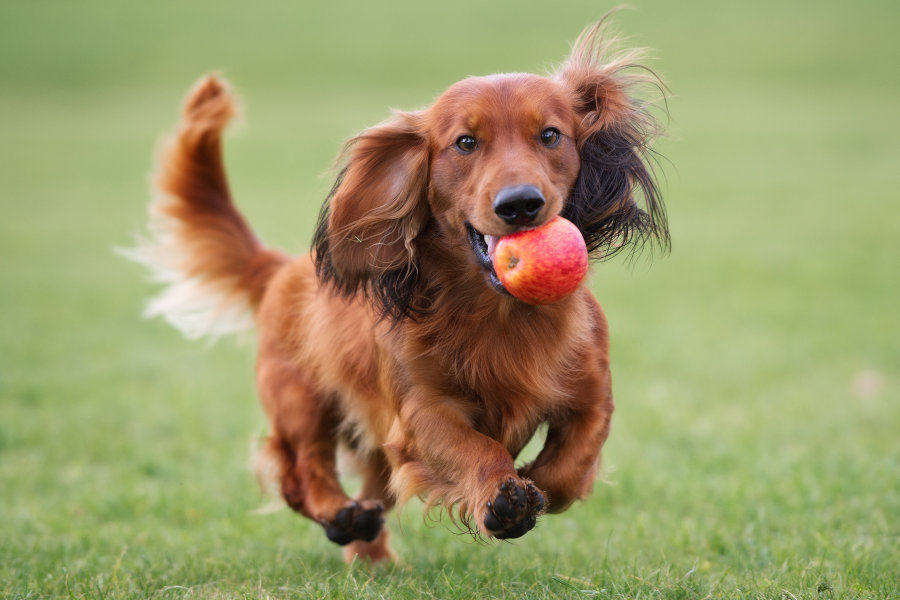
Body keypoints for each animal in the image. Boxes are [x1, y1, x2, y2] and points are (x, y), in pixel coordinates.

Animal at [134, 19, 668, 564]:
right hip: (301, 398)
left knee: (369, 487)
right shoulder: (421, 413)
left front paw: (531, 482)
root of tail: (281, 268)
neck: (500, 314)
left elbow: (568, 469)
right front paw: (503, 496)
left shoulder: (592, 398)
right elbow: (476, 447)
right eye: (466, 142)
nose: (520, 204)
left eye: (551, 135)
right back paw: (338, 513)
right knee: (300, 469)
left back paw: (369, 551)